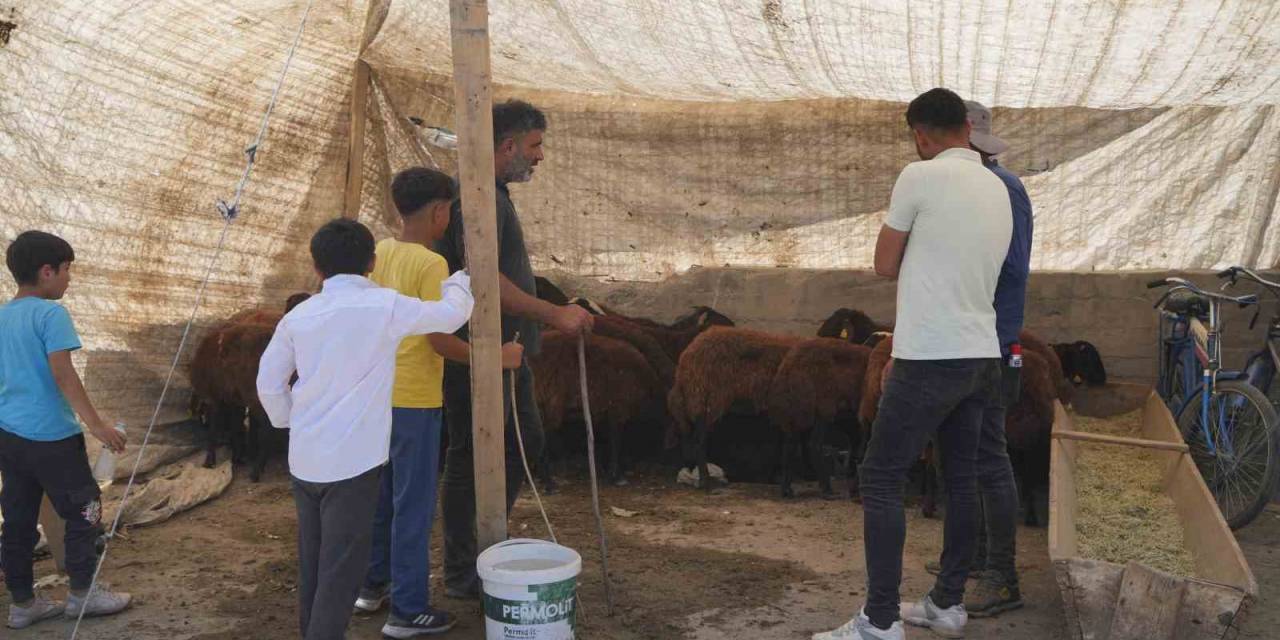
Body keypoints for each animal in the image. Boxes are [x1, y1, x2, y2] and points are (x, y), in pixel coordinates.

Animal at [670, 327, 798, 491]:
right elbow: (790, 447)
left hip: (698, 403)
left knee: (689, 440)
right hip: (708, 401)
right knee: (699, 442)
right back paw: (705, 481)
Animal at [768, 340, 870, 499]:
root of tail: (790, 367)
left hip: (797, 411)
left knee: (789, 445)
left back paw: (786, 489)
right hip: (823, 406)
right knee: (814, 444)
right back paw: (827, 489)